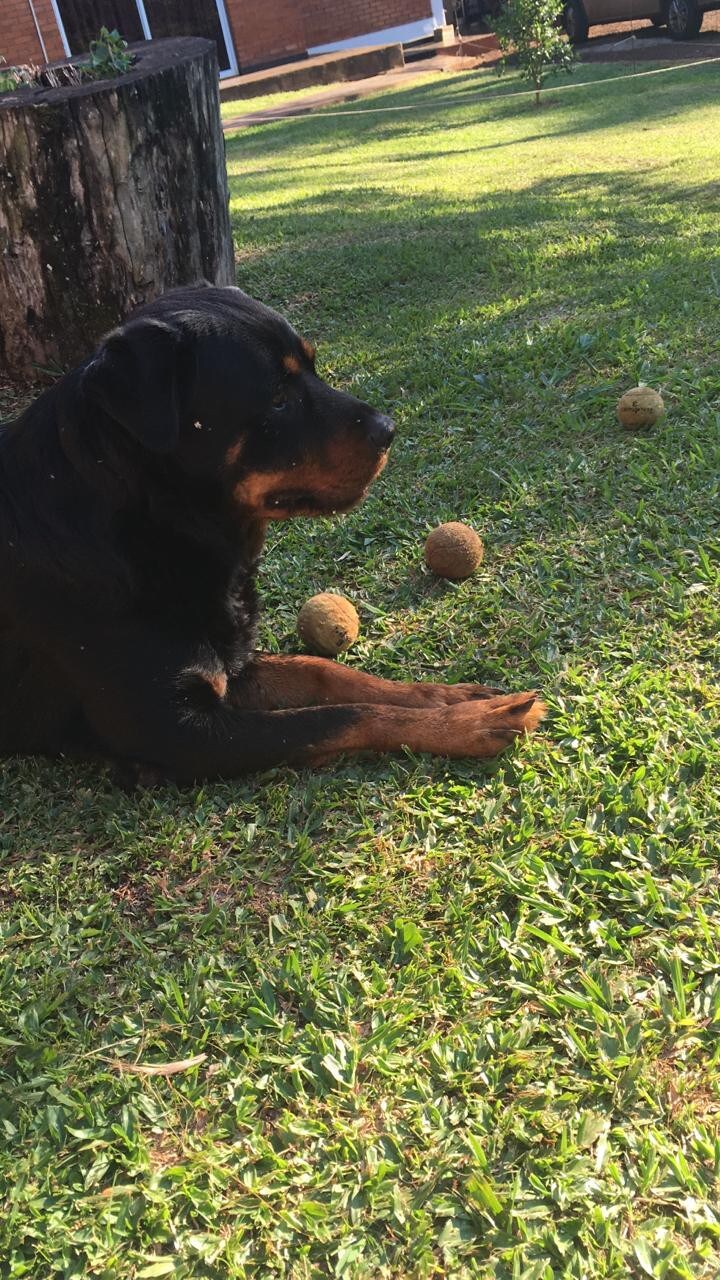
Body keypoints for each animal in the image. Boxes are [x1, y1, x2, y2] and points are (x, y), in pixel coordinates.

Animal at [0, 286, 538, 783]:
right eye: (278, 400)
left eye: (314, 368)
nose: (389, 429)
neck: (149, 523)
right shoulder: (176, 733)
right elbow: (340, 717)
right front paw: (468, 724)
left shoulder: (231, 666)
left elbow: (326, 671)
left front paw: (451, 697)